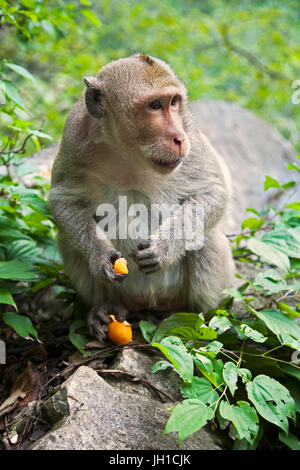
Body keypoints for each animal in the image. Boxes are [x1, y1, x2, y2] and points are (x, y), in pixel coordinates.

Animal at [48, 53, 234, 344]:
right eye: (154, 105)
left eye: (173, 102)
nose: (178, 138)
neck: (129, 153)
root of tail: (148, 305)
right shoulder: (74, 135)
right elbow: (62, 199)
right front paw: (100, 257)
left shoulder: (190, 129)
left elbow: (213, 191)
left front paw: (164, 248)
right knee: (67, 240)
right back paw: (104, 308)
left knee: (206, 236)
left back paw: (199, 320)